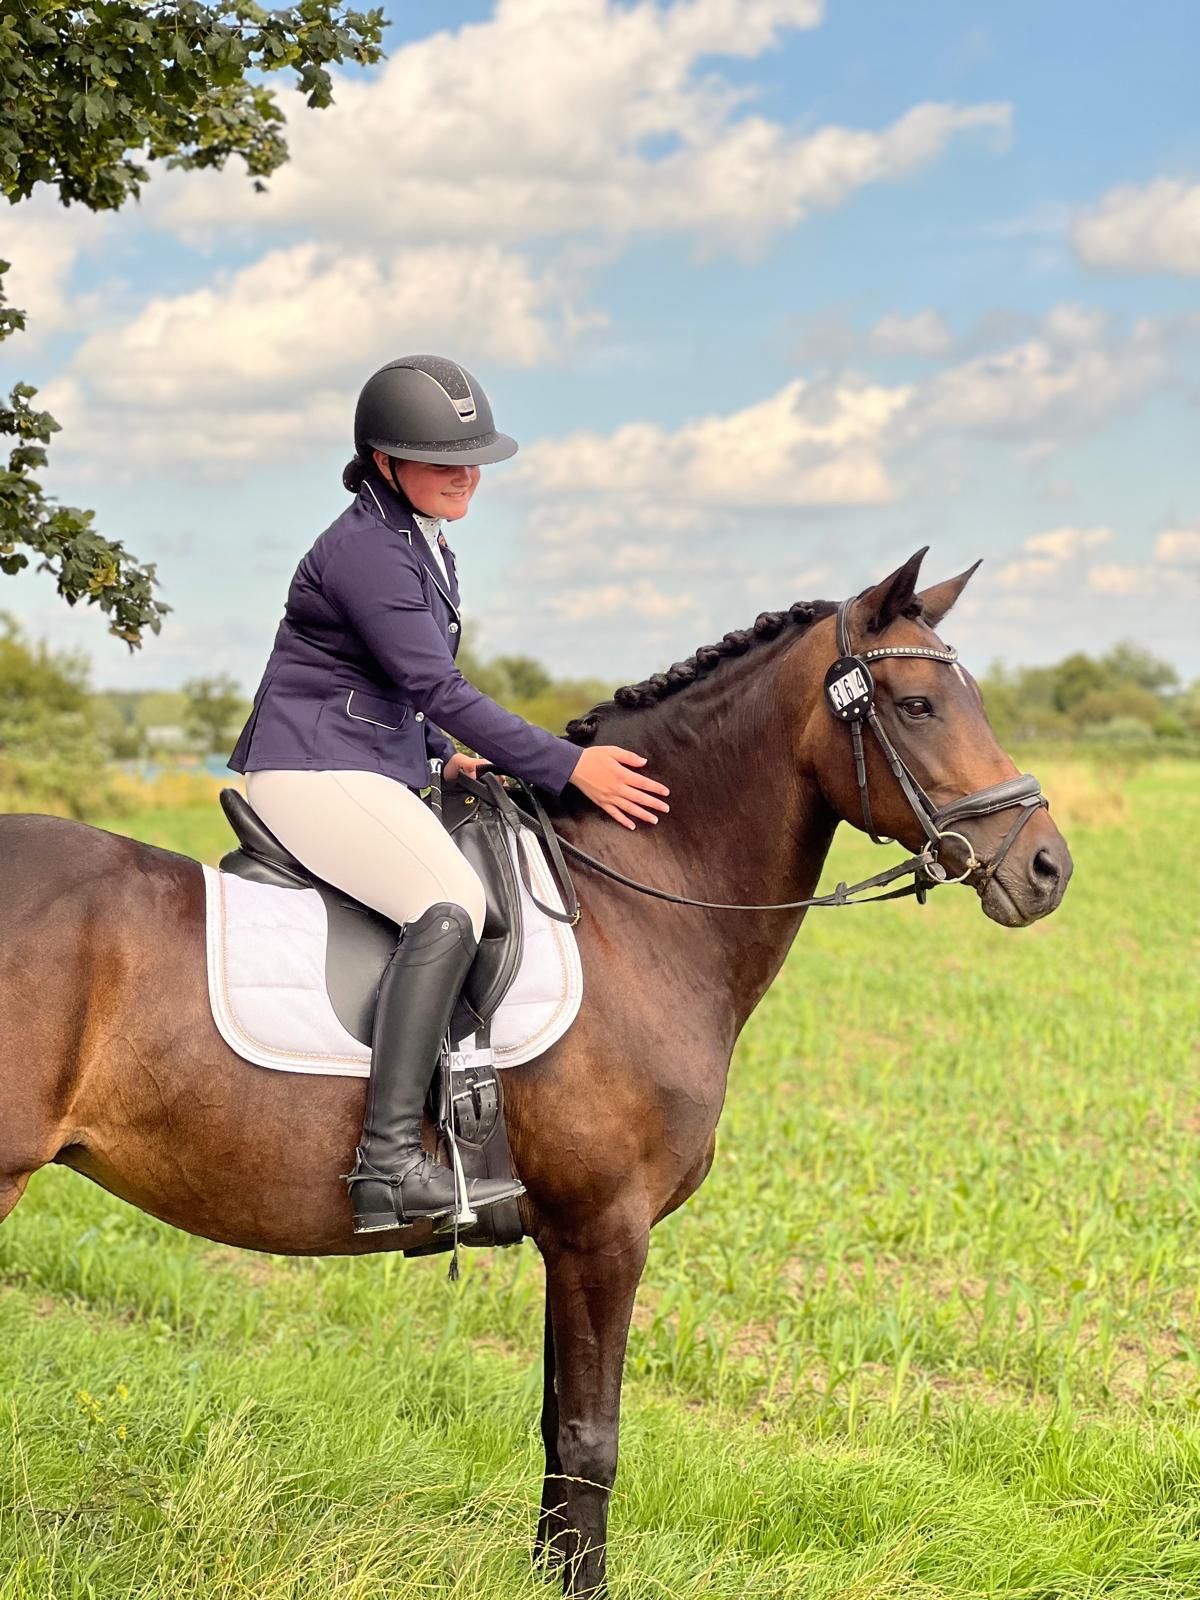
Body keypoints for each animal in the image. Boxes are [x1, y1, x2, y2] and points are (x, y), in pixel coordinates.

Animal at [0, 551, 1071, 1597]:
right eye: (917, 705)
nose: (1048, 868)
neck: (637, 906)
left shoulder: (569, 1238)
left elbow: (558, 1438)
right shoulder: (607, 1232)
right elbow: (593, 1442)